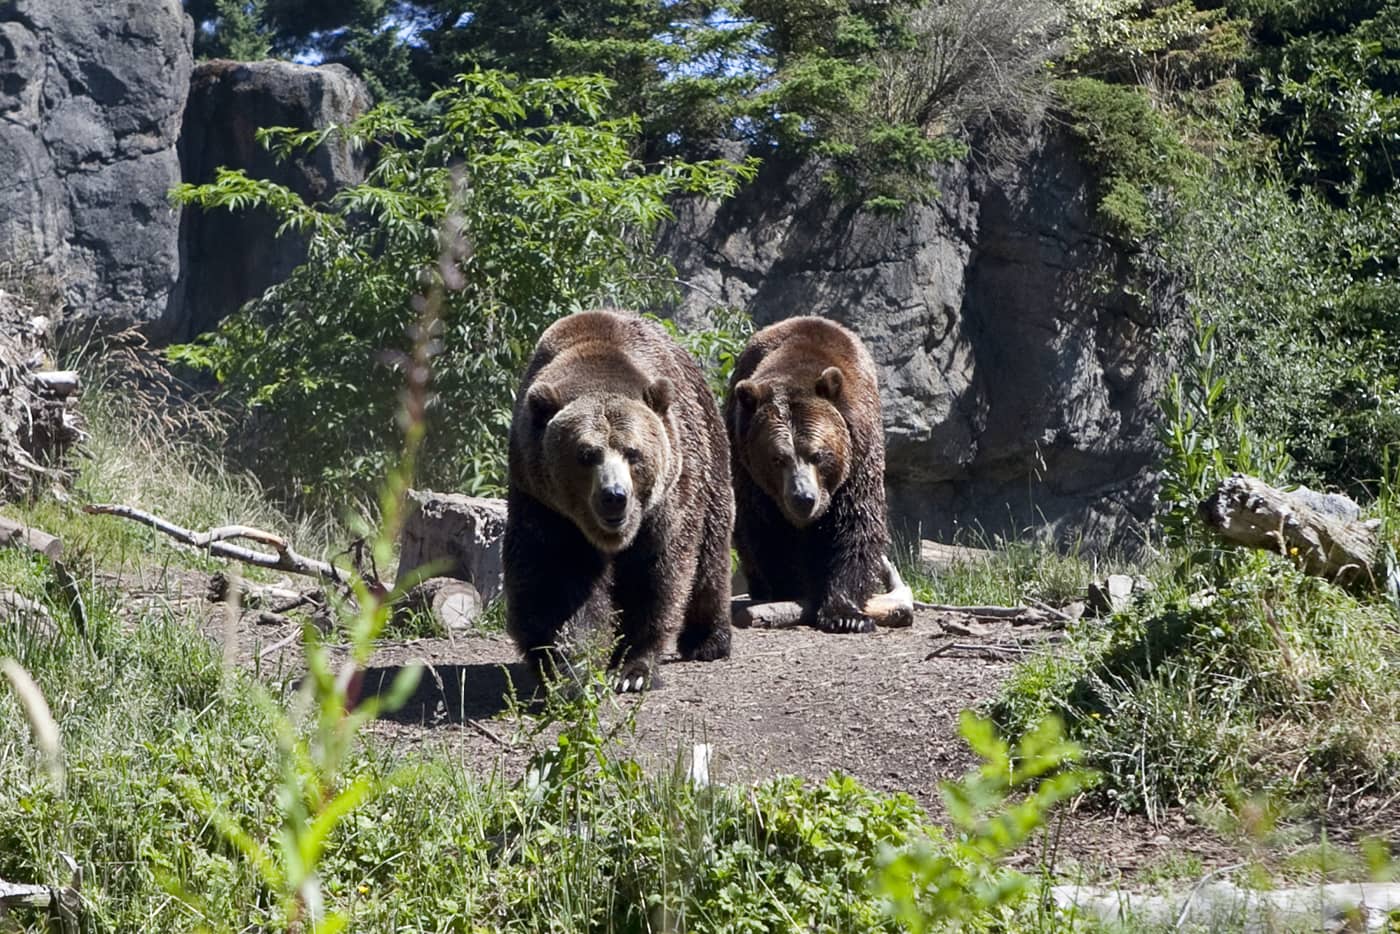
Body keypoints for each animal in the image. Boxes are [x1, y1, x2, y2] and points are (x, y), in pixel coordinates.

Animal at [501, 310, 733, 691]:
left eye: (633, 452)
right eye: (586, 454)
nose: (615, 496)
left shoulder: (665, 503)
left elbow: (656, 574)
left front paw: (633, 670)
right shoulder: (544, 504)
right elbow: (555, 581)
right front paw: (570, 670)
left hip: (709, 457)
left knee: (711, 556)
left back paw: (708, 640)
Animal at [728, 316, 890, 635]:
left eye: (818, 454)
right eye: (777, 458)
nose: (803, 498)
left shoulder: (858, 459)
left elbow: (856, 527)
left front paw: (846, 614)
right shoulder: (751, 474)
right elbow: (765, 530)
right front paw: (790, 590)